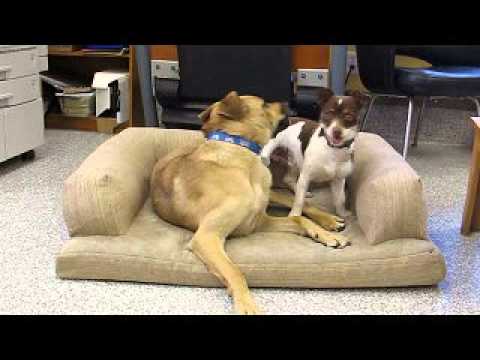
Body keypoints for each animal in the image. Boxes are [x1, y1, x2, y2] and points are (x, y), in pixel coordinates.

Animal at [152, 91, 346, 314]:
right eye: (264, 103)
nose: (289, 101)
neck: (237, 149)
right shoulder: (207, 237)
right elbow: (235, 271)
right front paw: (246, 304)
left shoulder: (258, 222)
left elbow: (298, 219)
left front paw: (323, 233)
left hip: (272, 193)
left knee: (298, 203)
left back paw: (329, 221)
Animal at [260, 88, 366, 219]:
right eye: (328, 114)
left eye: (348, 116)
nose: (336, 132)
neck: (333, 149)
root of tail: (290, 118)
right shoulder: (306, 176)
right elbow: (298, 201)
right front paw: (295, 215)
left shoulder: (339, 180)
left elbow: (340, 199)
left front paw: (342, 213)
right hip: (277, 142)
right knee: (268, 148)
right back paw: (265, 157)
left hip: (295, 160)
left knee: (289, 179)